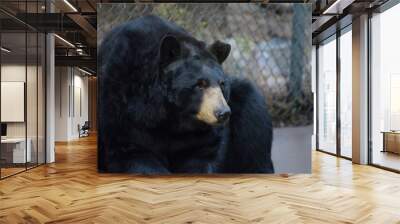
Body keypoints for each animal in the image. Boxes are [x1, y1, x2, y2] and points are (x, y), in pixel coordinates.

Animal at [99, 14, 276, 174]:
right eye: (200, 84)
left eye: (222, 84)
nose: (223, 113)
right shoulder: (122, 108)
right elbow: (131, 152)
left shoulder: (201, 137)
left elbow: (201, 156)